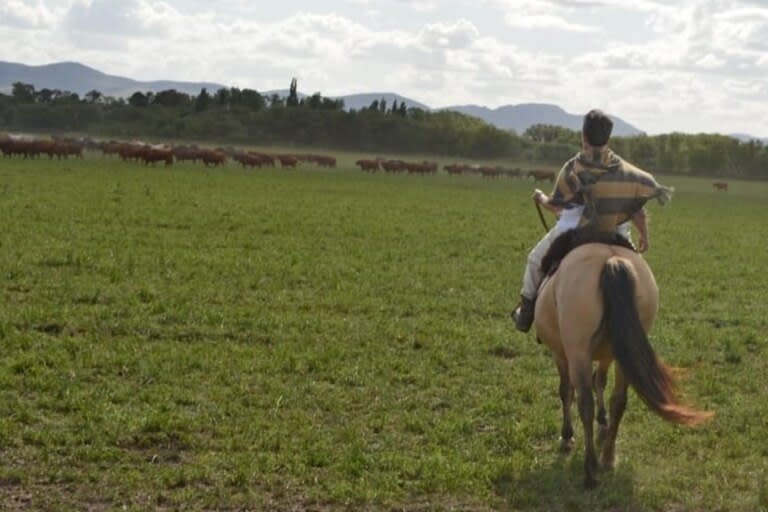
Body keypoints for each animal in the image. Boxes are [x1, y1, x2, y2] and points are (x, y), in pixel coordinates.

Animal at [532, 234, 712, 490]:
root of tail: (611, 259)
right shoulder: (609, 353)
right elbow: (600, 381)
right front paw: (603, 423)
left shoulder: (561, 353)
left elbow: (566, 391)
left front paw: (567, 436)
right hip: (624, 349)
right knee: (619, 400)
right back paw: (608, 458)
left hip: (578, 350)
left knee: (584, 401)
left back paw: (591, 471)